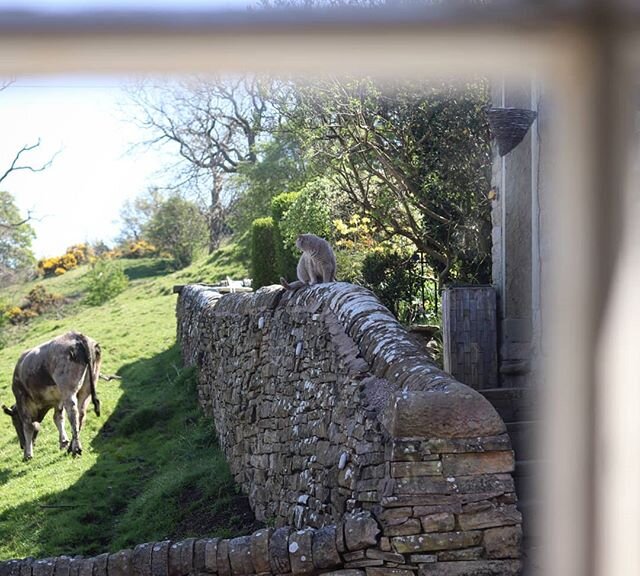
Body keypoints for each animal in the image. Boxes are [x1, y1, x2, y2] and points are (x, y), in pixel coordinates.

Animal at [2, 332, 102, 460]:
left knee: (73, 413)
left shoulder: (21, 398)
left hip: (68, 390)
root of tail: (77, 335)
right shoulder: (58, 400)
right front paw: (63, 442)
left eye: (14, 422)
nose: (21, 445)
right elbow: (58, 418)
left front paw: (27, 454)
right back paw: (71, 447)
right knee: (81, 413)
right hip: (87, 387)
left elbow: (28, 425)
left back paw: (76, 449)